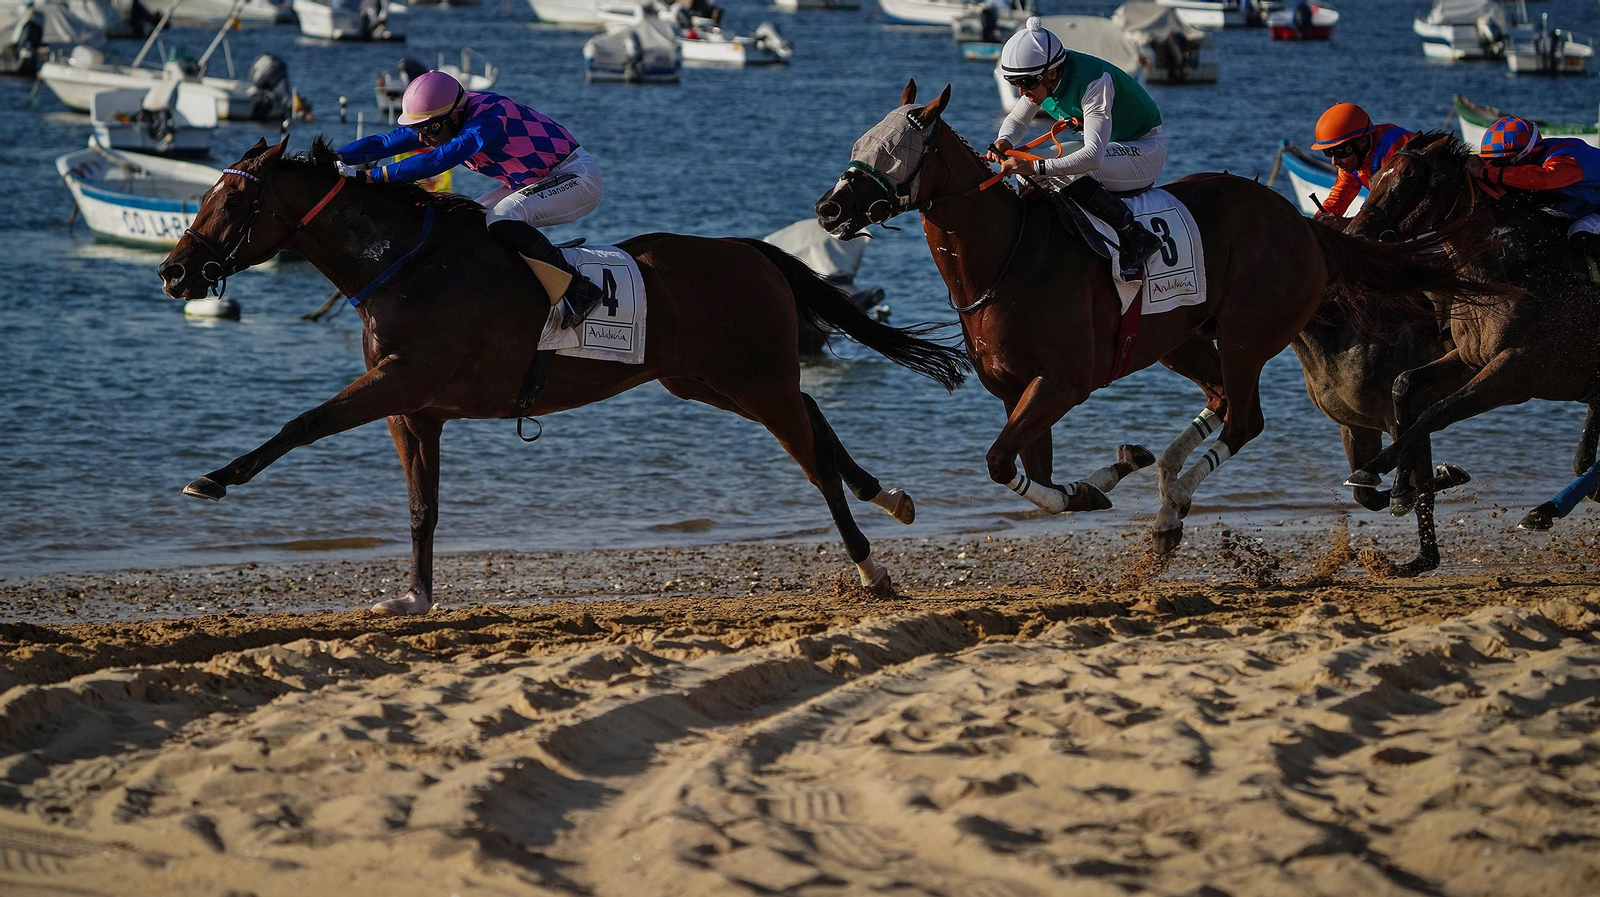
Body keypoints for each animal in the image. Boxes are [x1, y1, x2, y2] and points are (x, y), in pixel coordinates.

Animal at [156, 137, 971, 614]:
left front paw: (215, 478)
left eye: (234, 198)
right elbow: (422, 507)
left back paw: (870, 568)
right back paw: (890, 496)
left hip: (750, 381)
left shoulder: (398, 383)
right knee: (817, 417)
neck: (405, 266)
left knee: (814, 462)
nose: (173, 272)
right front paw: (414, 596)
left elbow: (304, 421)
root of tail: (750, 250)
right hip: (711, 380)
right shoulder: (413, 409)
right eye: (204, 194)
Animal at [814, 82, 1505, 554]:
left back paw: (1177, 506)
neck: (1004, 260)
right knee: (1222, 400)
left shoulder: (1062, 383)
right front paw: (1100, 480)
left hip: (1249, 333)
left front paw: (1102, 482)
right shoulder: (1018, 392)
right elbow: (1033, 476)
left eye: (897, 148)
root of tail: (1301, 223)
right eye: (857, 143)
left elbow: (1001, 464)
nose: (829, 209)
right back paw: (1170, 494)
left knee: (1244, 418)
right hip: (1184, 339)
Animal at [1341, 132, 1600, 531]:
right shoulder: (1469, 357)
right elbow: (1403, 385)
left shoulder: (1515, 373)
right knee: (1585, 459)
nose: (1353, 235)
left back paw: (1547, 509)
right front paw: (1401, 490)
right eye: (1376, 175)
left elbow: (1436, 413)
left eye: (1406, 181)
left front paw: (1374, 468)